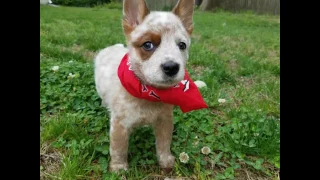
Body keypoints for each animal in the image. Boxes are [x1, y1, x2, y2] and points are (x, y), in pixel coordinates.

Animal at [94, 0, 208, 172]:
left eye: (182, 45)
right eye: (148, 45)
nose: (171, 67)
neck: (148, 93)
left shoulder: (165, 119)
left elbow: (164, 143)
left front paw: (165, 160)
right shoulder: (119, 124)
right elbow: (119, 148)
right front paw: (119, 168)